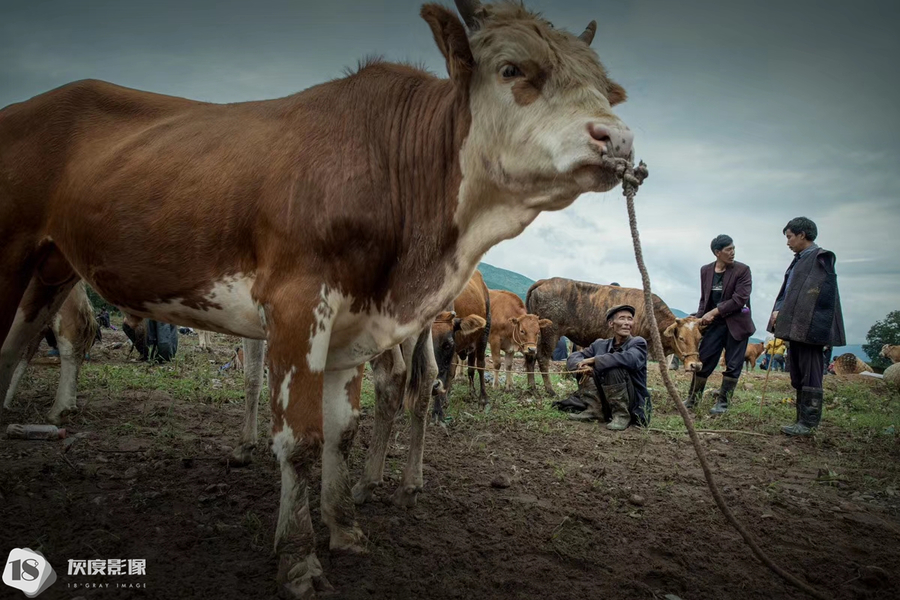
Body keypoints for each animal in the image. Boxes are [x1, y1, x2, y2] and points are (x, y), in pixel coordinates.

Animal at [0, 2, 632, 596]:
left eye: (606, 87)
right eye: (512, 68)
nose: (620, 139)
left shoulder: (353, 323)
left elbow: (341, 431)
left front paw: (345, 527)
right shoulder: (296, 307)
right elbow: (299, 437)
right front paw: (299, 556)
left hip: (53, 266)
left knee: (16, 348)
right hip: (15, 256)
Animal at [528, 276, 704, 394]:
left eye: (699, 338)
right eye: (681, 338)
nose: (696, 365)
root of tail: (546, 280)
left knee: (530, 357)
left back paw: (532, 389)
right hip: (550, 333)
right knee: (542, 359)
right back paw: (549, 390)